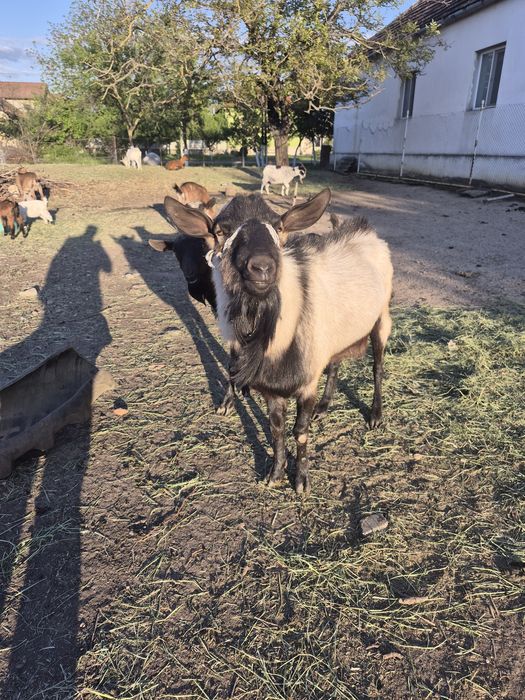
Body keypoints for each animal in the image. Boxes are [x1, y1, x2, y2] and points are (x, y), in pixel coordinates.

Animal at [163, 189, 393, 495]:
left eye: (279, 227)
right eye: (220, 231)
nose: (262, 267)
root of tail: (366, 231)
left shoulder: (306, 384)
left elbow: (300, 432)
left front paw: (301, 482)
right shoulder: (271, 388)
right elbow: (276, 428)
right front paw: (275, 475)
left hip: (382, 318)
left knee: (377, 366)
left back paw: (375, 416)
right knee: (334, 365)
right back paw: (324, 407)